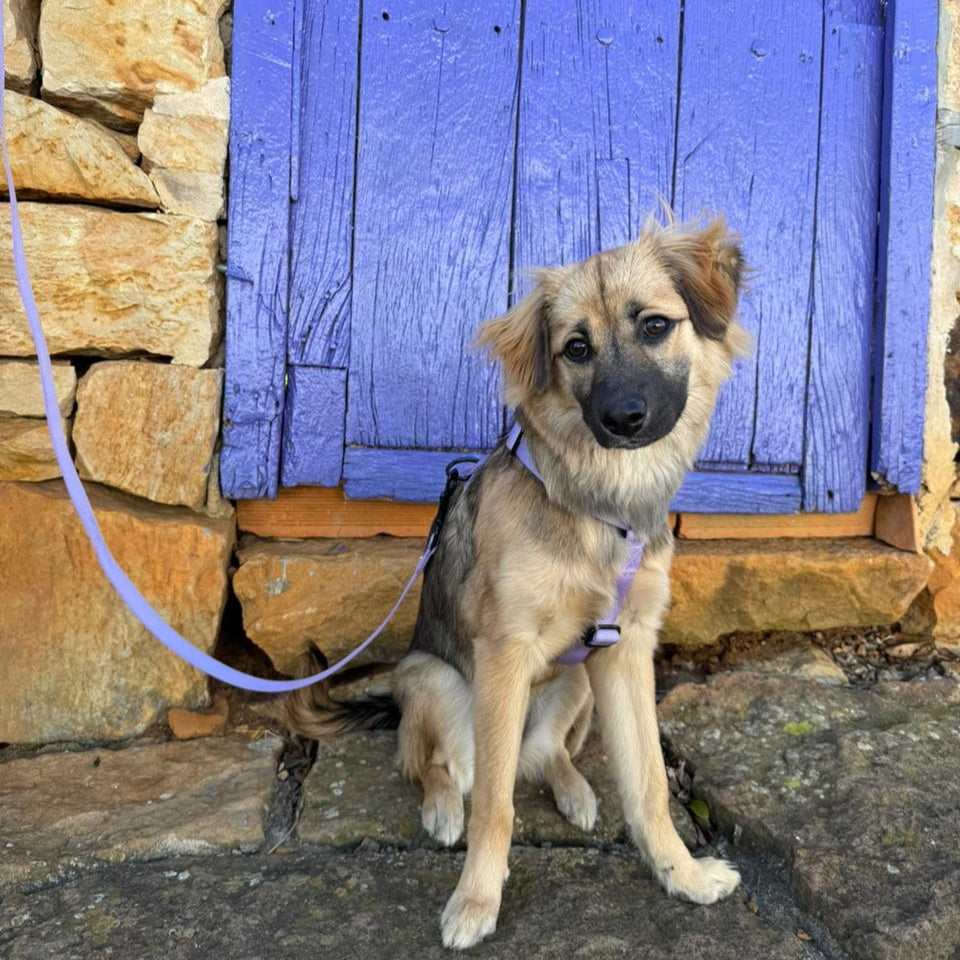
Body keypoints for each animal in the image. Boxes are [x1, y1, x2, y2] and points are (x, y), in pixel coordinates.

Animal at [284, 213, 749, 949]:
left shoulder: (626, 648)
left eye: (654, 326)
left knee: (545, 754)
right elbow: (495, 806)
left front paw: (684, 875)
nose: (624, 418)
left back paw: (574, 788)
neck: (599, 506)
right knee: (439, 766)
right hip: (433, 680)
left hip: (580, 680)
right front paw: (477, 901)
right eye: (575, 348)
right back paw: (443, 808)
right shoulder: (503, 653)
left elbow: (648, 785)